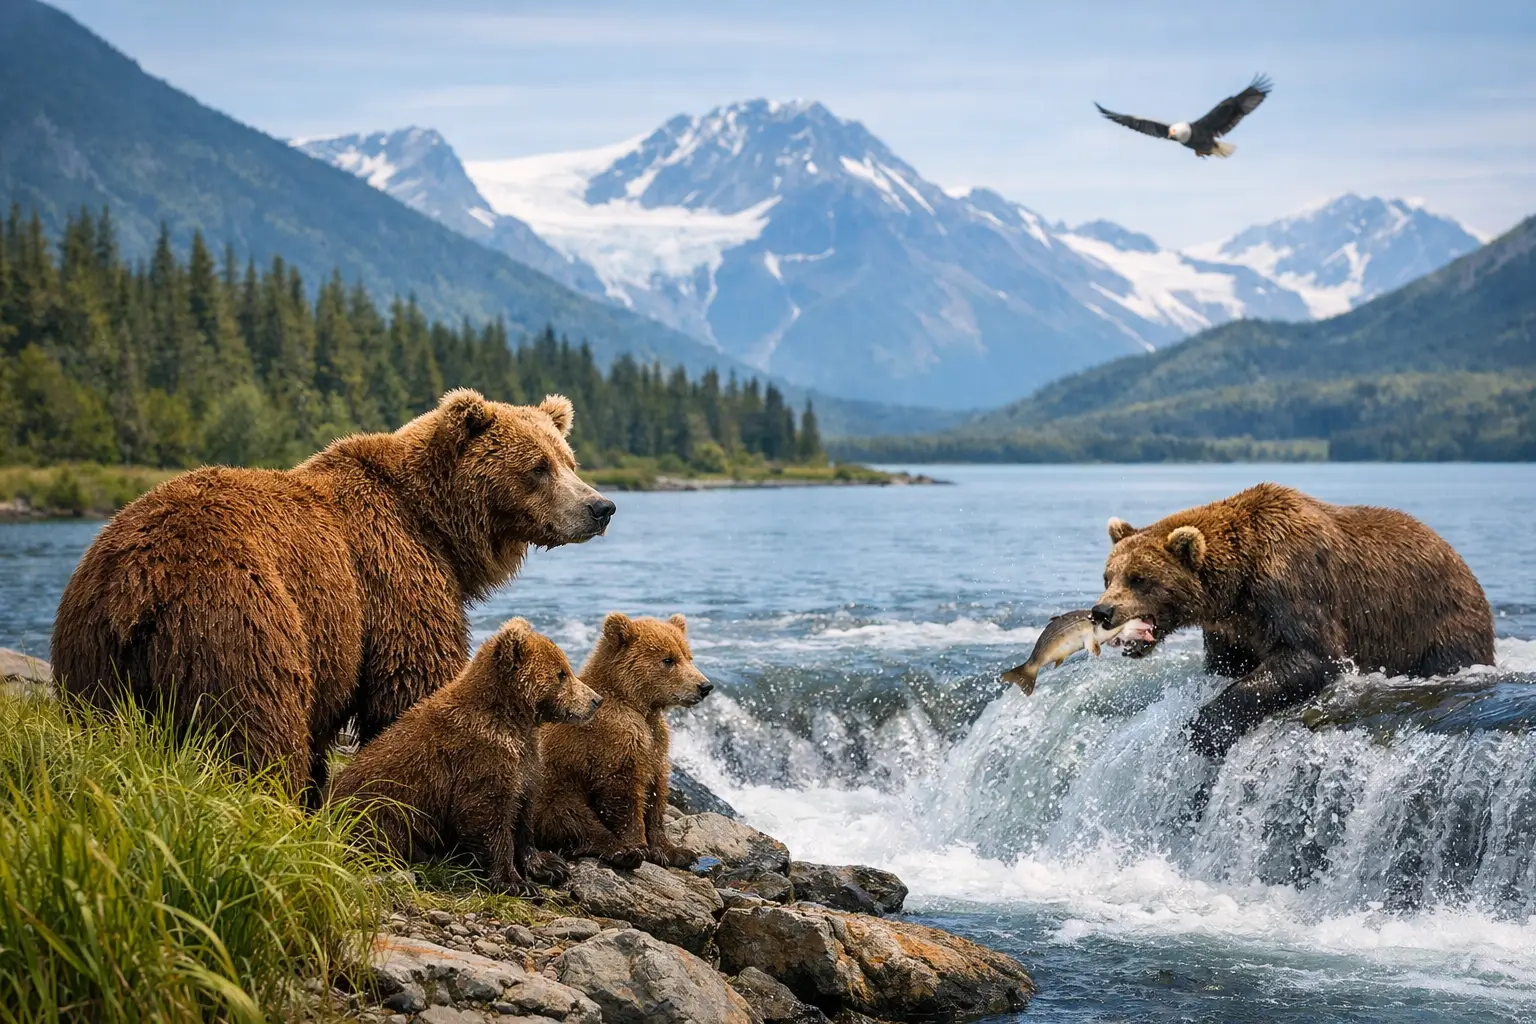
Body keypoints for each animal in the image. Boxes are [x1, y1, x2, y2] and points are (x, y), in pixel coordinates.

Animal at [51, 389, 615, 803]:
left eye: (568, 460)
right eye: (537, 466)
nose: (601, 507)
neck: (436, 525)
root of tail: (138, 583)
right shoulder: (393, 580)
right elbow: (413, 684)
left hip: (91, 652)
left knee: (100, 727)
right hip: (237, 621)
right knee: (255, 728)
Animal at [328, 618, 600, 894]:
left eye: (566, 668)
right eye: (562, 674)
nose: (596, 700)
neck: (512, 718)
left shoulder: (526, 761)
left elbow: (523, 814)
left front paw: (550, 866)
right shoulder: (479, 758)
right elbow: (487, 817)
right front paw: (514, 882)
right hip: (383, 809)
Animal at [533, 612, 713, 870]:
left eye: (688, 656)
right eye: (668, 660)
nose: (704, 686)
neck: (638, 705)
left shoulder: (656, 742)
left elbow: (656, 793)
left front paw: (675, 851)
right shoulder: (613, 739)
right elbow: (623, 794)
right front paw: (638, 846)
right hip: (551, 789)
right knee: (572, 817)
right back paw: (621, 853)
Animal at [1093, 482, 1495, 758]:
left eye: (1139, 579)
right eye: (1108, 576)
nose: (1102, 612)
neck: (1237, 587)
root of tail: (1462, 564)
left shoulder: (1292, 585)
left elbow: (1309, 656)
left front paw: (1205, 729)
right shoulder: (1232, 627)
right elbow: (1228, 663)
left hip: (1434, 621)